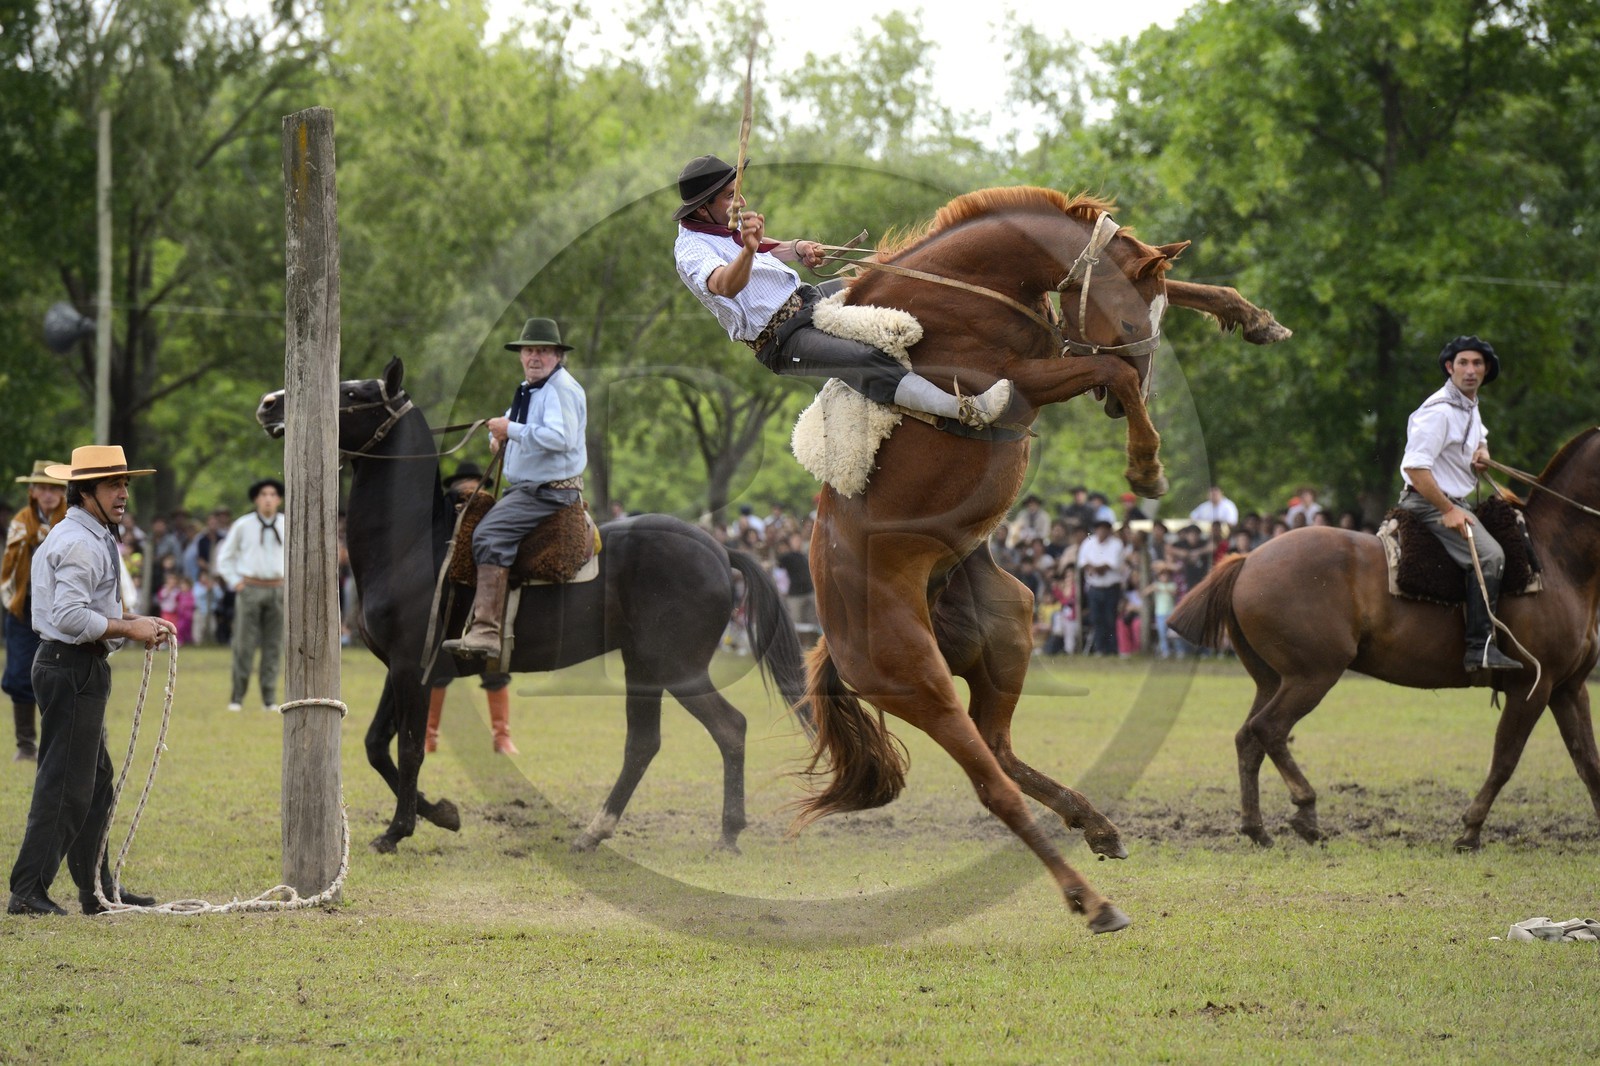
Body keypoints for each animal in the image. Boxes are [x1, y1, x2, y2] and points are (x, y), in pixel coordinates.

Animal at [256, 358, 808, 854]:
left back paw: (728, 833)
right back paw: (596, 831)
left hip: (679, 667)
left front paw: (398, 831)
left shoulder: (413, 667)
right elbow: (376, 746)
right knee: (643, 743)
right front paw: (441, 813)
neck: (414, 543)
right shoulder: (400, 667)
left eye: (352, 393)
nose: (270, 404)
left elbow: (409, 749)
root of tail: (718, 549)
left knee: (729, 728)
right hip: (643, 667)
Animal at [794, 187, 1292, 934]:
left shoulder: (1058, 343)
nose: (1124, 404)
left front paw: (1254, 317)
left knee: (998, 747)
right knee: (992, 786)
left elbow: (1175, 287)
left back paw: (1097, 825)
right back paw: (1092, 901)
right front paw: (1146, 467)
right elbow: (1106, 365)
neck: (962, 293)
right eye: (1124, 318)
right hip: (919, 682)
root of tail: (834, 637)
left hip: (1008, 627)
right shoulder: (1028, 379)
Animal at [1168, 428, 1600, 851]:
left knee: (1248, 738)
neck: (1556, 559)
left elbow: (1588, 762)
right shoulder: (1532, 687)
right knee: (1269, 729)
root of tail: (1248, 561)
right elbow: (1505, 760)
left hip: (1273, 680)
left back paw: (1257, 828)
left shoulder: (1568, 688)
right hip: (1311, 676)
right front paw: (1470, 831)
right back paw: (1306, 812)